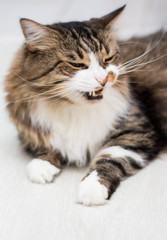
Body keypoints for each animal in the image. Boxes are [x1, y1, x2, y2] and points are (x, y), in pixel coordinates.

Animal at [4, 4, 167, 205]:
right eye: (77, 64)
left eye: (108, 59)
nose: (105, 78)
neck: (74, 109)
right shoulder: (29, 128)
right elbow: (47, 145)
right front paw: (42, 167)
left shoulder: (137, 130)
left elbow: (110, 158)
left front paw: (91, 189)